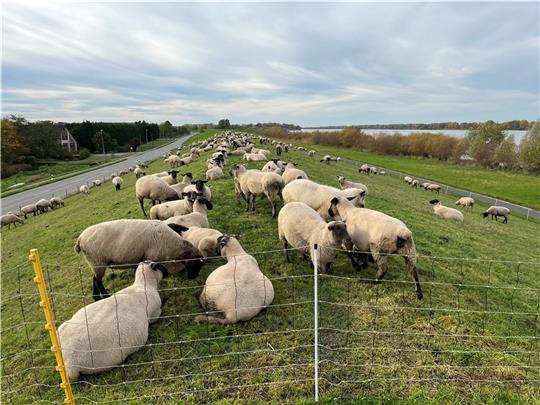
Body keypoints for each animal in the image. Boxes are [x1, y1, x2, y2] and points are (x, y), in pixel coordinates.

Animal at [75, 218, 204, 300]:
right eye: (197, 264)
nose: (192, 277)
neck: (174, 245)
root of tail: (80, 239)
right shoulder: (153, 257)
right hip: (98, 261)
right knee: (98, 281)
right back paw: (106, 296)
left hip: (94, 262)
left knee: (94, 278)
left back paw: (96, 297)